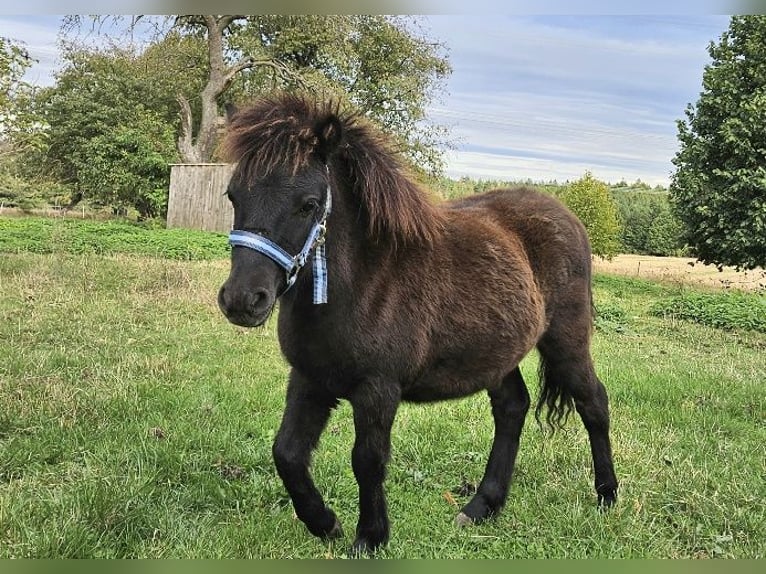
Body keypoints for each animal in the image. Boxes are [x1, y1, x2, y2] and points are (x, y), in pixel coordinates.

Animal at [216, 94, 616, 560]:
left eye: (309, 203)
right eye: (233, 195)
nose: (243, 300)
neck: (365, 281)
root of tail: (568, 217)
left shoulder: (377, 389)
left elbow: (367, 460)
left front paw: (369, 538)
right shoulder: (310, 379)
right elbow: (287, 453)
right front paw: (326, 524)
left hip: (566, 340)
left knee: (593, 402)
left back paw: (607, 496)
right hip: (496, 353)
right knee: (512, 408)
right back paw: (481, 507)